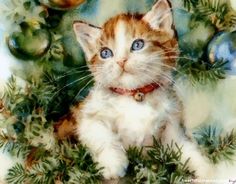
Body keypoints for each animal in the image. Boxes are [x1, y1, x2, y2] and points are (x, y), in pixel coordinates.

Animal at [73, 0, 212, 179]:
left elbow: (183, 146)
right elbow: (98, 132)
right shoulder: (87, 113)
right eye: (105, 53)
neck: (135, 95)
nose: (121, 61)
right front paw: (112, 163)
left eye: (137, 44)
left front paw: (208, 170)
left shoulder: (171, 121)